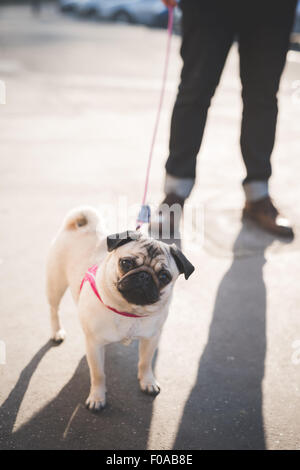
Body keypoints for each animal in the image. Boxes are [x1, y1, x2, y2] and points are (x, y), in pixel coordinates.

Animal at [45, 207, 193, 412]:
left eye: (164, 276)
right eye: (126, 263)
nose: (144, 276)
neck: (129, 310)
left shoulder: (151, 338)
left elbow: (145, 362)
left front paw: (148, 382)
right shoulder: (94, 345)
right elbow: (98, 373)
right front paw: (97, 397)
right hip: (56, 284)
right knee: (53, 309)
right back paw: (57, 332)